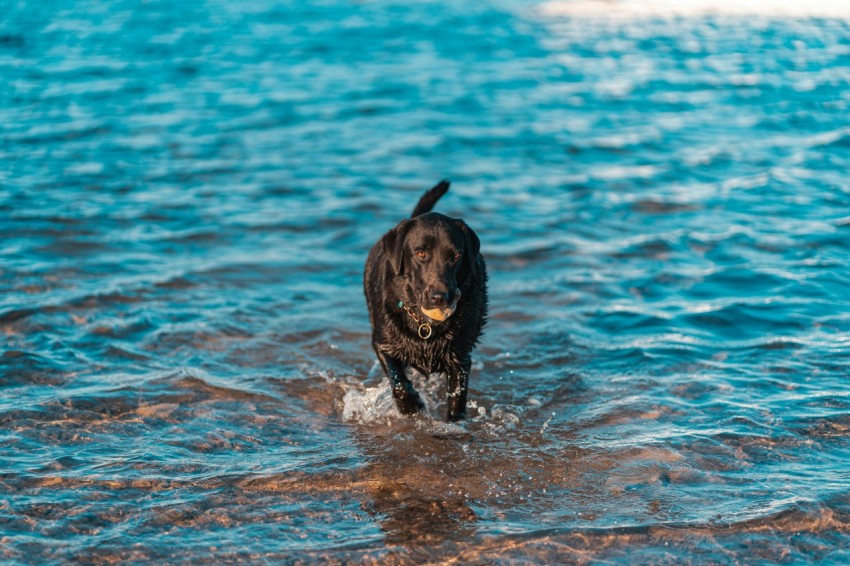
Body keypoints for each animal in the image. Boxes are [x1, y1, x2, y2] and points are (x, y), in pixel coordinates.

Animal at [362, 181, 486, 422]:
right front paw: (411, 407)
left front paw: (454, 422)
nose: (441, 296)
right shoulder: (382, 344)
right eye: (420, 254)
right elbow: (399, 381)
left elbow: (457, 396)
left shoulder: (460, 356)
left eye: (456, 256)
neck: (424, 322)